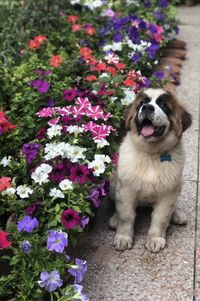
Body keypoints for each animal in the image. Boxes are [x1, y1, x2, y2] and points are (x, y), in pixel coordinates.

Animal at [109, 88, 192, 252]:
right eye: (142, 103)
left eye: (164, 105)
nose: (147, 108)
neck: (151, 155)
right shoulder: (126, 189)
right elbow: (126, 215)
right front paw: (123, 237)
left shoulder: (168, 192)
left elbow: (161, 218)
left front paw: (155, 239)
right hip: (113, 182)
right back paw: (114, 218)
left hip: (179, 183)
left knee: (174, 205)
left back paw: (177, 215)